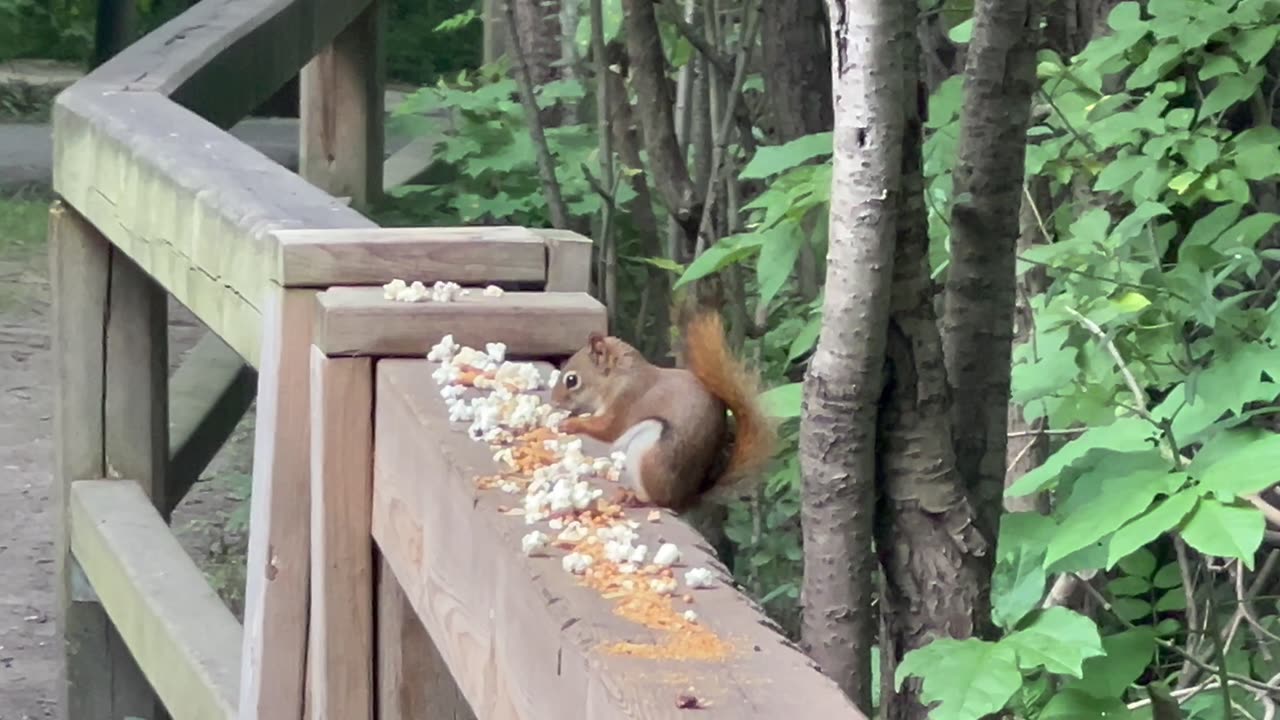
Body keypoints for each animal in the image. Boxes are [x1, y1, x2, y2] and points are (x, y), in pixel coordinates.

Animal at [547, 311, 768, 507]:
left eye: (572, 380)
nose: (553, 402)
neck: (619, 377)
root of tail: (686, 497)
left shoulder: (626, 402)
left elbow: (607, 429)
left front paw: (570, 424)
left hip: (649, 453)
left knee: (657, 500)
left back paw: (635, 498)